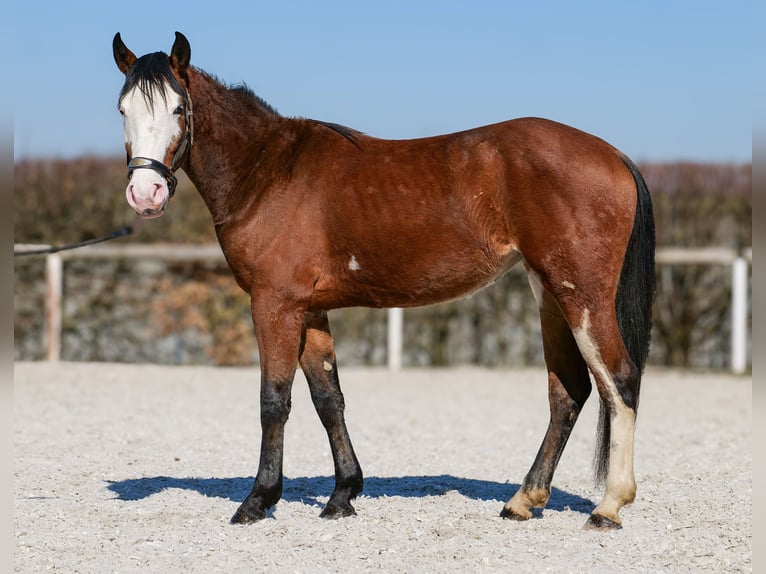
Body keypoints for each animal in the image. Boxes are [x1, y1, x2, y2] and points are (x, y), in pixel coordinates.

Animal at [112, 31, 656, 532]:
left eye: (178, 108)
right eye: (122, 109)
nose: (145, 193)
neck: (267, 171)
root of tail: (613, 155)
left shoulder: (275, 303)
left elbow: (274, 400)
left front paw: (257, 501)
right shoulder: (310, 309)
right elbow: (329, 400)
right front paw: (342, 496)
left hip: (583, 297)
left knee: (619, 380)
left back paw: (609, 506)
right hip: (550, 294)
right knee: (568, 392)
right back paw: (523, 500)